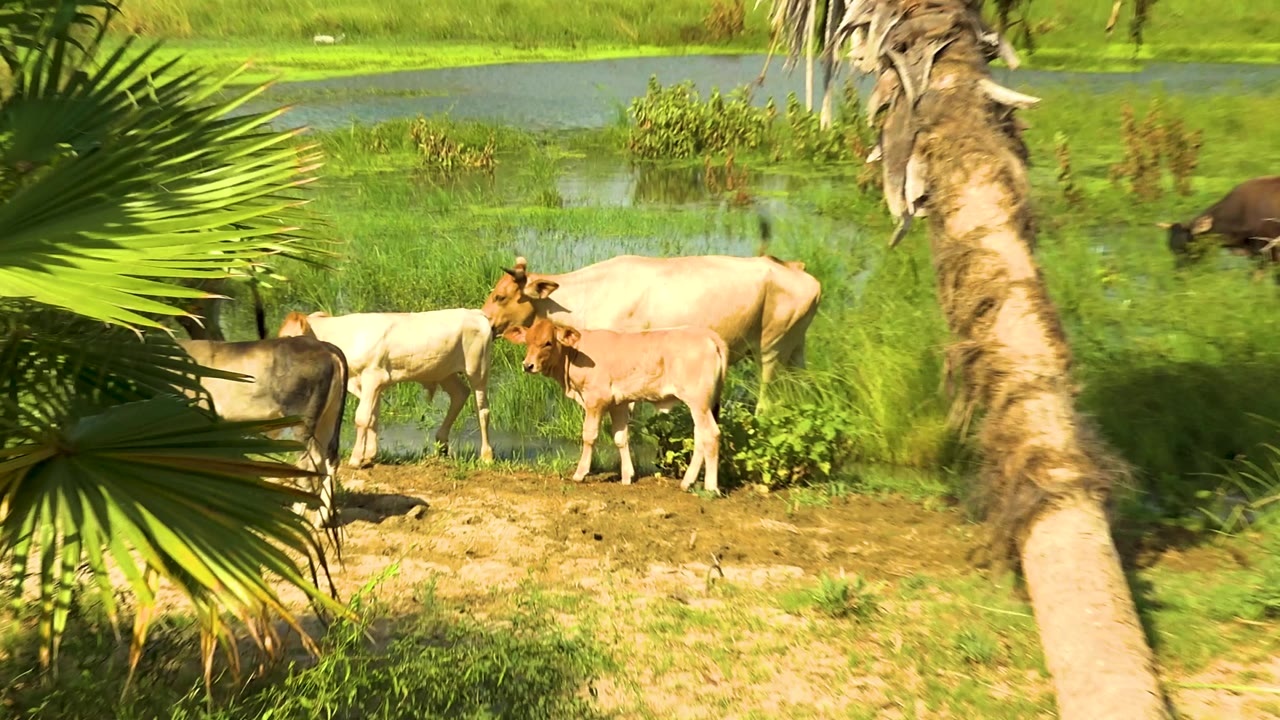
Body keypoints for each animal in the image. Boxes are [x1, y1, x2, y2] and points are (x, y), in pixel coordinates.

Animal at [176, 336, 348, 534]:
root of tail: (322, 345)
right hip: (327, 420)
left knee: (311, 462)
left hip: (303, 422)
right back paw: (320, 520)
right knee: (330, 460)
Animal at [277, 309, 495, 468]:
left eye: (290, 339)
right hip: (443, 372)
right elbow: (373, 416)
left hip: (478, 368)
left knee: (482, 409)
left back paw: (486, 455)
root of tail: (475, 312)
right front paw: (370, 455)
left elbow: (362, 417)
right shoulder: (372, 384)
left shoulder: (373, 376)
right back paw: (441, 443)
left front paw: (356, 459)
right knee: (460, 394)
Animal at [479, 251, 820, 413]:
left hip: (772, 348)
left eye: (501, 296)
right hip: (796, 348)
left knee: (767, 400)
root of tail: (796, 269)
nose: (485, 321)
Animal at [502, 317, 729, 495]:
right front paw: (627, 476)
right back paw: (687, 482)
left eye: (548, 343)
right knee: (700, 437)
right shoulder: (618, 403)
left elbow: (589, 435)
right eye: (527, 341)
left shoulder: (596, 399)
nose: (528, 365)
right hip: (702, 404)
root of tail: (708, 335)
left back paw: (710, 487)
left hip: (698, 401)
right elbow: (621, 438)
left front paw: (580, 473)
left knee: (710, 435)